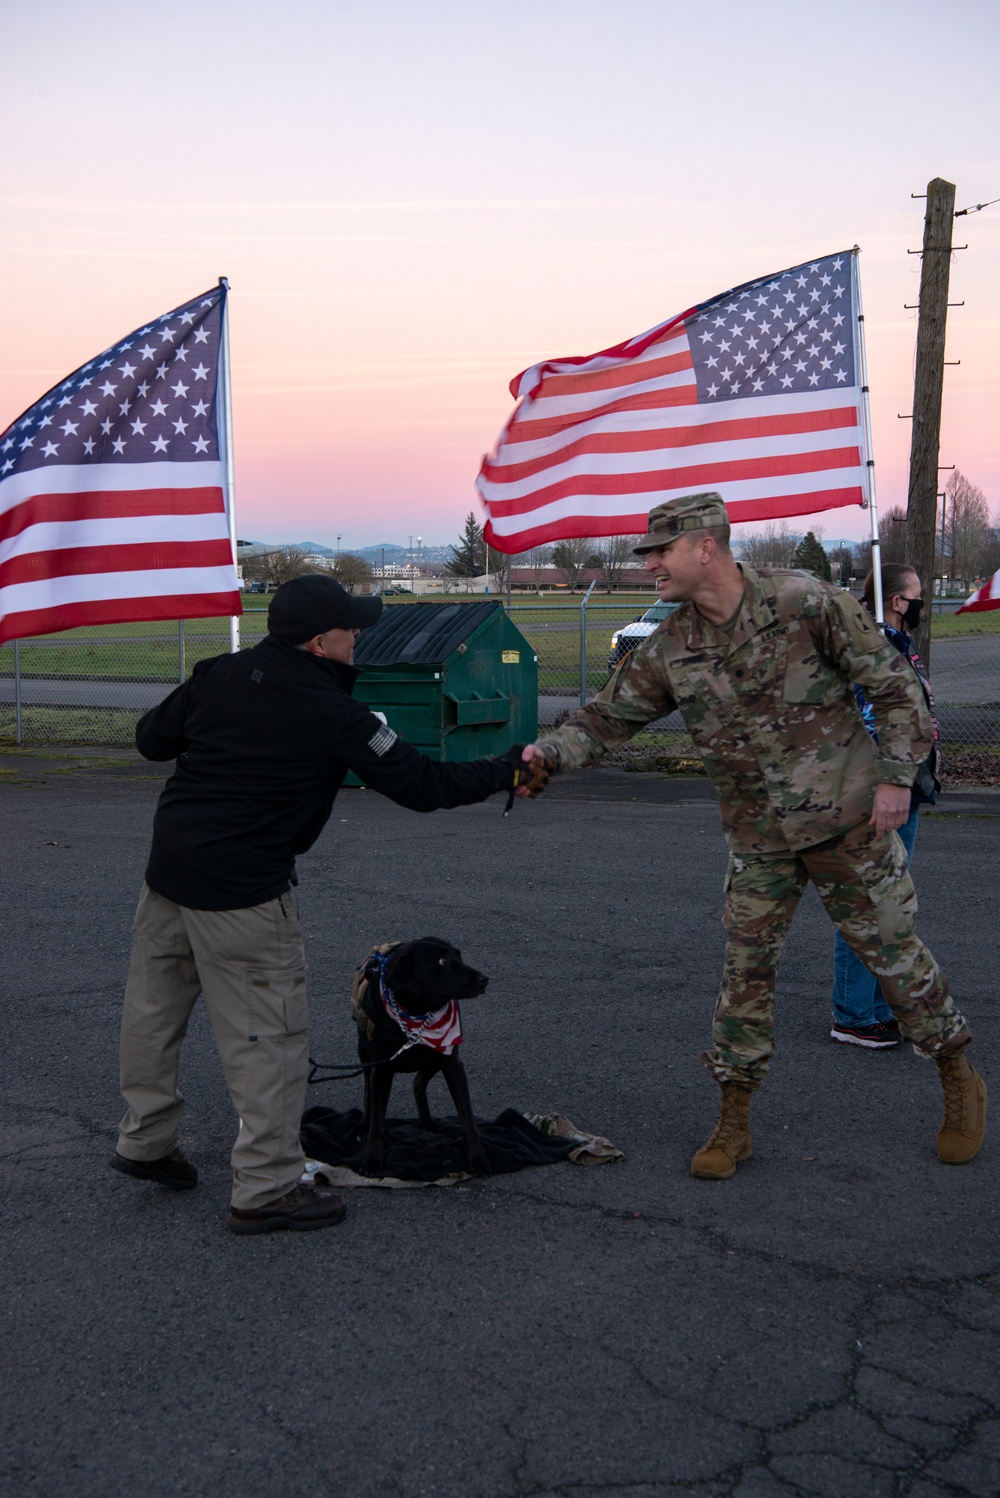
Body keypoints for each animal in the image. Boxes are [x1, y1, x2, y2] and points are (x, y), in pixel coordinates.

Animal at [353, 934, 491, 1180]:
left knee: (418, 1082)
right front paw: (372, 1158)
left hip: (434, 1059)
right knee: (369, 1091)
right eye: (442, 961)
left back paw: (426, 1119)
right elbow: (377, 1120)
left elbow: (468, 1118)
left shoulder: (452, 1063)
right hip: (366, 1057)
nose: (484, 979)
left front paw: (477, 1158)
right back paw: (363, 1125)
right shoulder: (381, 1069)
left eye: (459, 955)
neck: (416, 1012)